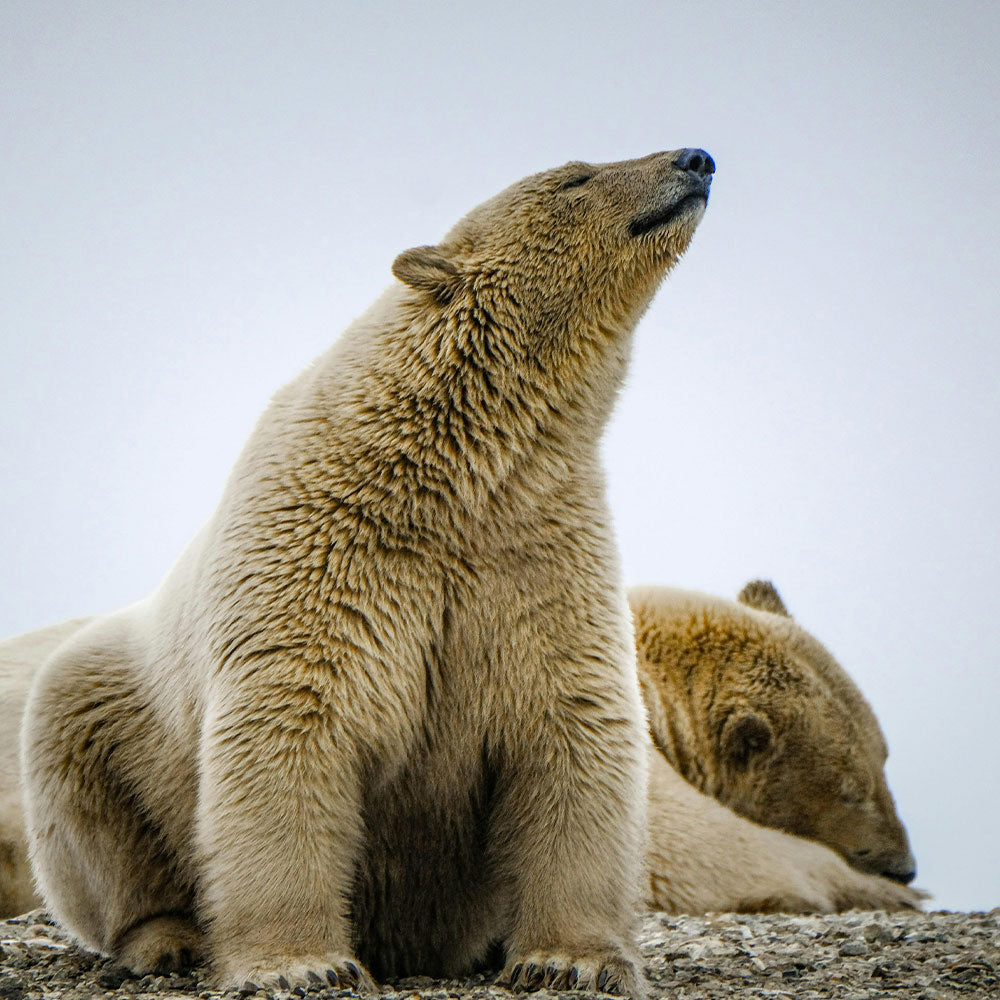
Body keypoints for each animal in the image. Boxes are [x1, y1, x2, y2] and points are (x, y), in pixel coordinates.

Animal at [20, 148, 717, 997]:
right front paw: (302, 965)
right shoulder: (322, 553)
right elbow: (293, 724)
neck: (452, 472)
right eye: (574, 178)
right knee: (93, 804)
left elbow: (572, 724)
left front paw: (569, 961)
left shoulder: (536, 555)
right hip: (108, 707)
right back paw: (168, 939)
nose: (696, 158)